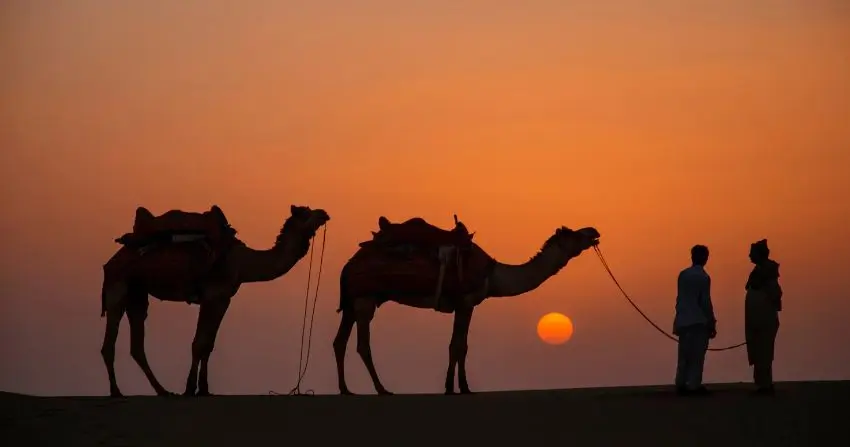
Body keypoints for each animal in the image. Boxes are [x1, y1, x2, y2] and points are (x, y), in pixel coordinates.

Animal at [100, 205, 330, 397]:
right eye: (305, 213)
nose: (324, 213)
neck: (243, 263)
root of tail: (111, 261)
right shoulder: (212, 295)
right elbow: (199, 343)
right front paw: (190, 389)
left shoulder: (223, 299)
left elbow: (208, 345)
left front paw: (204, 389)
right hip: (117, 286)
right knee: (109, 343)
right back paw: (117, 392)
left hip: (137, 293)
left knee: (136, 345)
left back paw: (163, 391)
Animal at [333, 220, 600, 395]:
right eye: (573, 234)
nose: (593, 231)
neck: (493, 274)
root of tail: (347, 265)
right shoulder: (465, 301)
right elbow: (457, 346)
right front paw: (454, 388)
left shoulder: (468, 305)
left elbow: (462, 346)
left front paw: (461, 387)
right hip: (366, 299)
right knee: (362, 345)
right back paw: (382, 389)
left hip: (352, 302)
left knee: (340, 342)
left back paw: (346, 390)